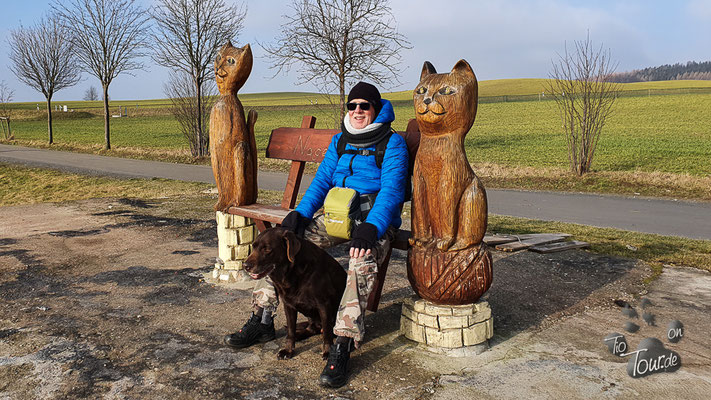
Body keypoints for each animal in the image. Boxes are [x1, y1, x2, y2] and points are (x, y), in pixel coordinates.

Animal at [242, 228, 348, 360]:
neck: (291, 272)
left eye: (267, 249)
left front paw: (328, 352)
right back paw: (299, 335)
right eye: (253, 247)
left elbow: (327, 333)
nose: (245, 266)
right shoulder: (288, 304)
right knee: (311, 329)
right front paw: (289, 350)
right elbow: (291, 330)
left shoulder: (324, 304)